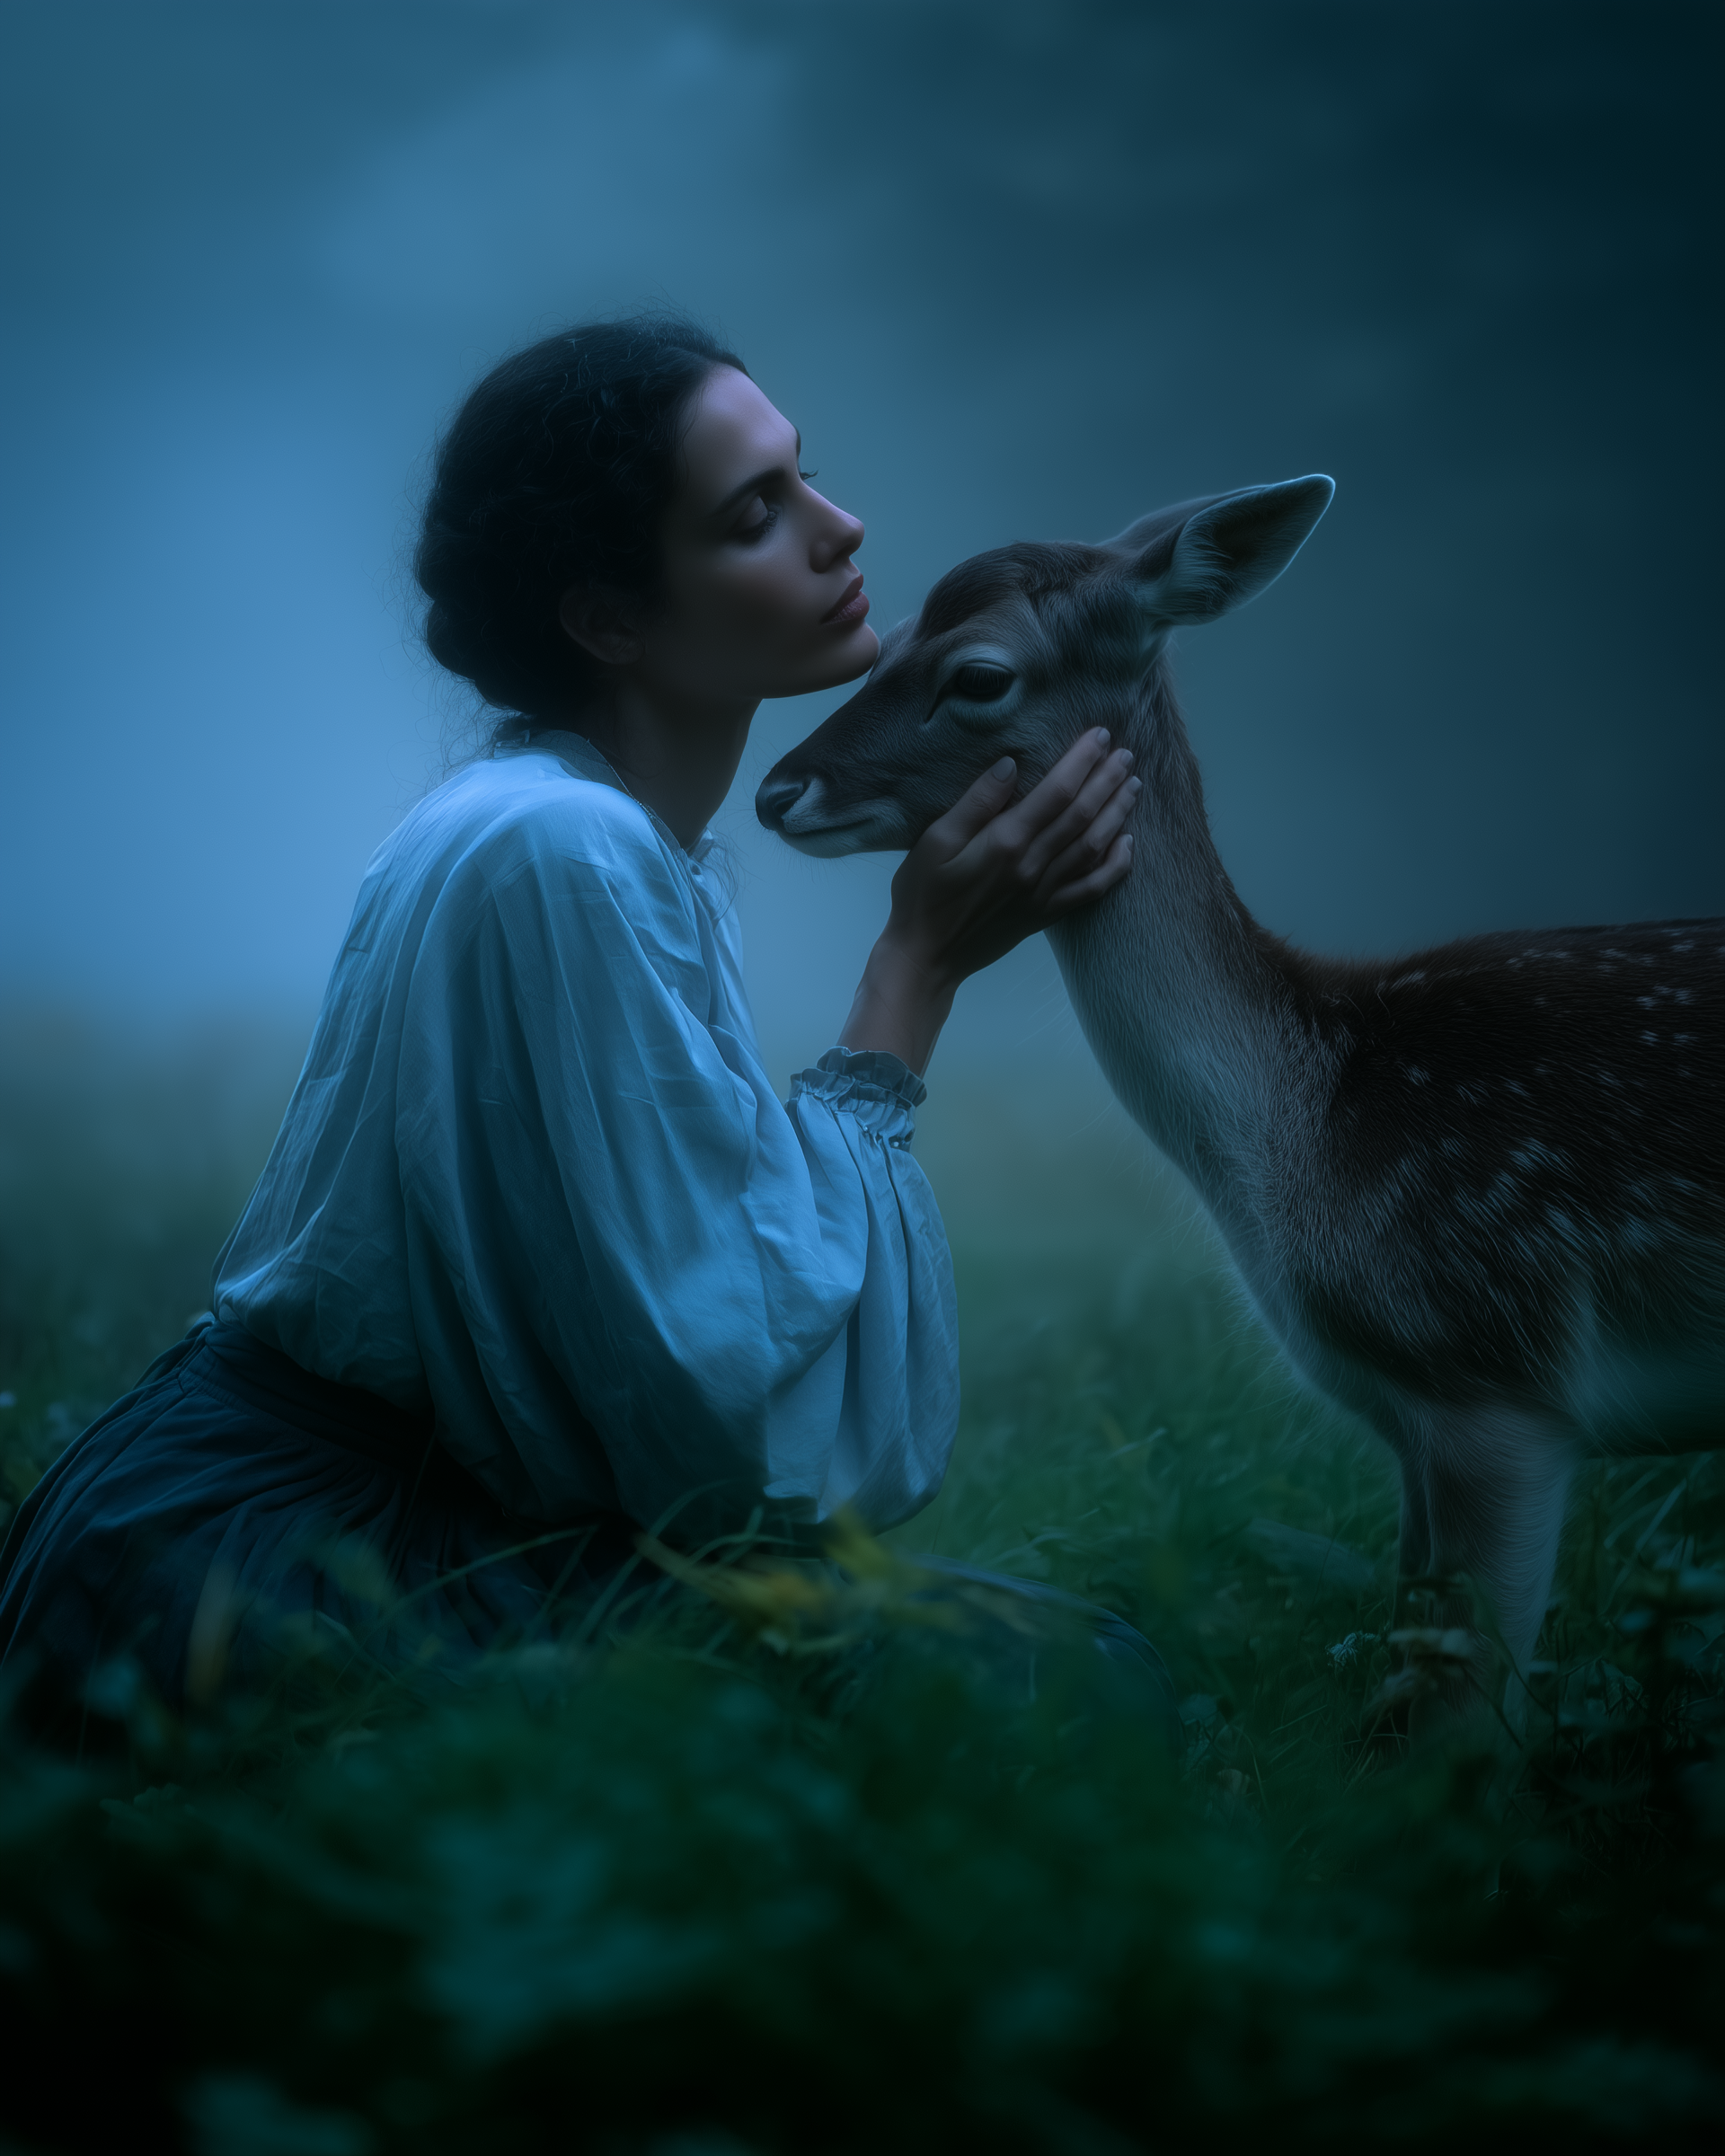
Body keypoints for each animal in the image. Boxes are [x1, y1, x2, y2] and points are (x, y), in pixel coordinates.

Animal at [755, 477, 1725, 1735]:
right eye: (886, 636)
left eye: (977, 674)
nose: (778, 789)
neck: (1303, 1131)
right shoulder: (1422, 1425)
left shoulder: (1496, 1376)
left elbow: (1452, 1729)